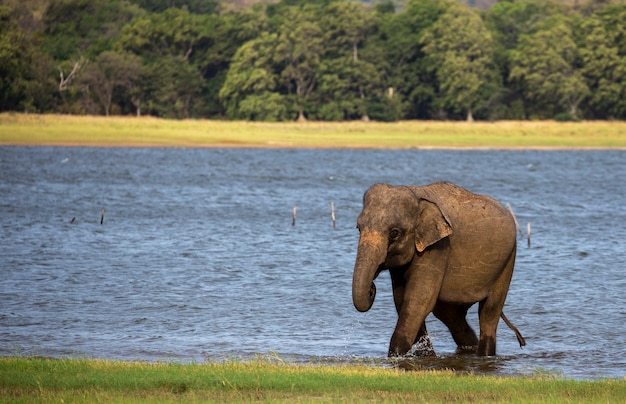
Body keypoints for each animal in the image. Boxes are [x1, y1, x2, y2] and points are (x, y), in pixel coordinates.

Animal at [352, 183, 520, 356]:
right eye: (358, 228)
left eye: (394, 233)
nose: (372, 288)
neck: (416, 194)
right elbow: (401, 299)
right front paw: (423, 354)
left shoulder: (438, 247)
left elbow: (419, 299)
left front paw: (397, 355)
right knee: (450, 315)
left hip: (508, 259)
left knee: (489, 312)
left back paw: (485, 353)